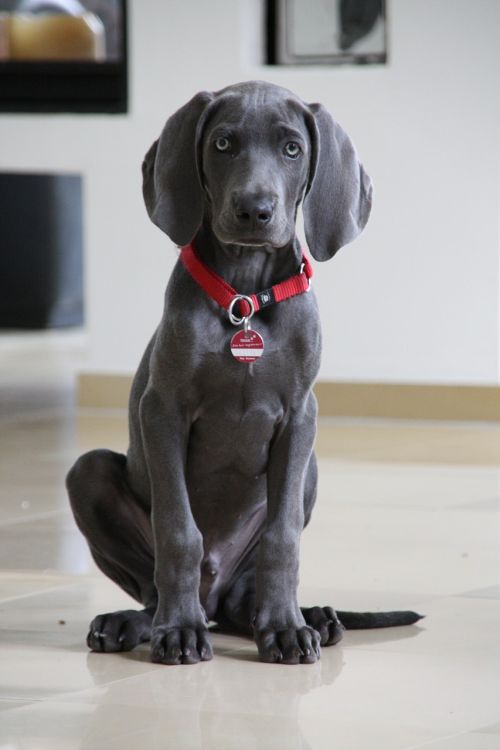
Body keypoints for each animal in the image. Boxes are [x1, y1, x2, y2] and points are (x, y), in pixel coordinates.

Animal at [67, 83, 422, 668]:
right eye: (223, 143)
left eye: (292, 148)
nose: (254, 210)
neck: (245, 297)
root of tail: (216, 598)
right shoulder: (162, 411)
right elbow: (178, 531)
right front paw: (179, 631)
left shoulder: (300, 417)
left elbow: (283, 539)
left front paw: (283, 629)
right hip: (87, 470)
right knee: (154, 587)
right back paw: (141, 622)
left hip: (310, 472)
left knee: (243, 598)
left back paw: (307, 617)